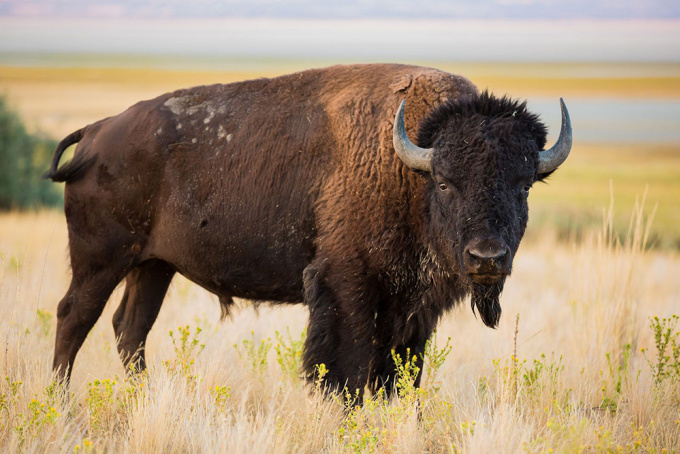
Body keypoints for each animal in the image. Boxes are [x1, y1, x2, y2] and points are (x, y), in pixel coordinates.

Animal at [45, 63, 572, 398]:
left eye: (524, 185)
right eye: (445, 182)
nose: (487, 258)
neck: (408, 167)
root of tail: (97, 132)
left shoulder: (413, 308)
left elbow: (399, 376)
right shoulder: (346, 286)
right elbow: (347, 371)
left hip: (154, 266)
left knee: (129, 329)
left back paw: (142, 398)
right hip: (101, 260)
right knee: (74, 318)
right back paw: (59, 402)